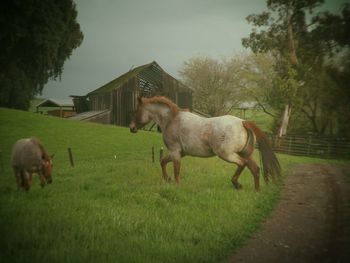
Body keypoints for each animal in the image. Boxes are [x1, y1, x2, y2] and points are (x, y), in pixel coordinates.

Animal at [130, 97, 280, 192]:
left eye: (136, 111)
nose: (132, 128)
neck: (171, 120)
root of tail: (243, 122)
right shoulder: (179, 153)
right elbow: (163, 162)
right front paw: (167, 179)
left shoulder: (175, 152)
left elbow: (176, 170)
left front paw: (176, 185)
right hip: (245, 153)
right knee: (255, 168)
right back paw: (256, 191)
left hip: (227, 154)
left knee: (242, 164)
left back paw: (236, 184)